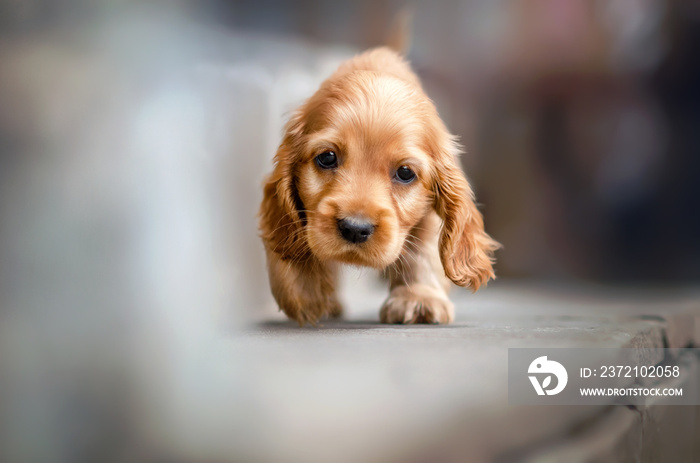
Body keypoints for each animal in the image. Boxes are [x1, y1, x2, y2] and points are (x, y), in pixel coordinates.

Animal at [258, 47, 498, 326]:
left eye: (405, 173)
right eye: (327, 157)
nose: (355, 228)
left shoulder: (429, 213)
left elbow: (423, 251)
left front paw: (418, 299)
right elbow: (290, 240)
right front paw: (305, 291)